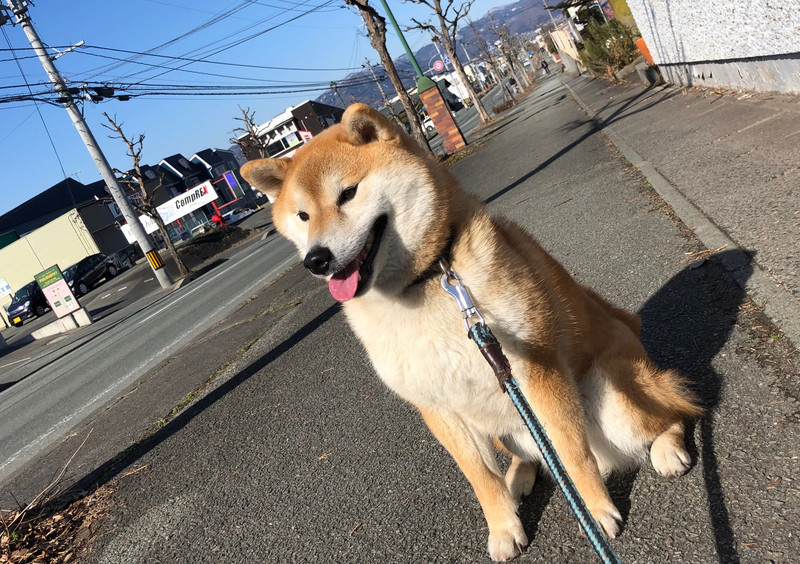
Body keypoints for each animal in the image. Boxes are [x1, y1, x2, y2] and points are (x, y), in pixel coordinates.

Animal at [241, 104, 702, 562]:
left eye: (347, 194)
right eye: (302, 215)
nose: (316, 259)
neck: (425, 282)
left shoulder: (538, 370)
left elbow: (572, 454)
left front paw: (595, 512)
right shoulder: (437, 406)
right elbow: (480, 477)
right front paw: (504, 528)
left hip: (611, 391)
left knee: (673, 408)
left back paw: (668, 448)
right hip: (503, 426)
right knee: (532, 454)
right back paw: (520, 475)